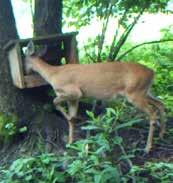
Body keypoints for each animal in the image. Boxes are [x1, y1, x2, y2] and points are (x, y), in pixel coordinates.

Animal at [23, 41, 166, 153]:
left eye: (24, 57)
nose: (24, 71)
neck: (53, 74)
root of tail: (152, 72)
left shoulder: (75, 91)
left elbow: (55, 101)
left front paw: (69, 121)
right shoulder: (74, 99)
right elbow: (72, 118)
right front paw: (70, 142)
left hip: (135, 93)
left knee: (153, 112)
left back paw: (147, 148)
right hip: (145, 91)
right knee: (161, 104)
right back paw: (161, 134)